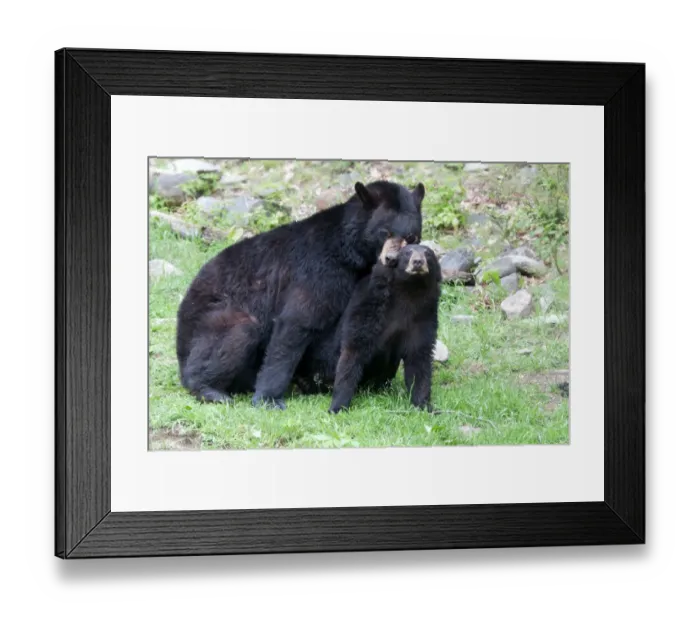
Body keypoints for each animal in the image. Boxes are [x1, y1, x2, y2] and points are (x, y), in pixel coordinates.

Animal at [176, 180, 425, 409]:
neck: (351, 253)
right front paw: (269, 398)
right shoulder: (320, 270)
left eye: (412, 237)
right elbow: (298, 321)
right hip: (210, 320)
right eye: (384, 232)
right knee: (239, 332)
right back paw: (210, 389)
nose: (391, 259)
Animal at [294, 238, 441, 413]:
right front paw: (337, 406)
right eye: (407, 253)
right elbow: (354, 347)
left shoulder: (423, 316)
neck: (409, 291)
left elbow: (419, 356)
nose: (418, 262)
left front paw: (425, 405)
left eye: (428, 253)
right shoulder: (369, 303)